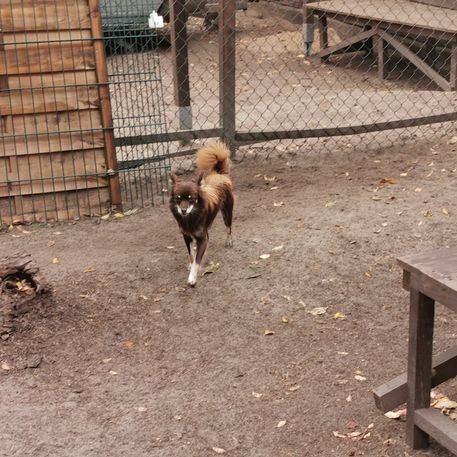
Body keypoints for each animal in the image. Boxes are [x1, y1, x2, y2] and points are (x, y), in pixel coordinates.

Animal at [169, 141, 233, 286]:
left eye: (191, 198)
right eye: (178, 198)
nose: (183, 210)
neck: (190, 218)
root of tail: (220, 175)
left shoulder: (202, 239)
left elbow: (197, 261)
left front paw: (192, 278)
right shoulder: (186, 236)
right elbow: (191, 255)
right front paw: (190, 263)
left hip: (227, 213)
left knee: (229, 227)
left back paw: (229, 241)